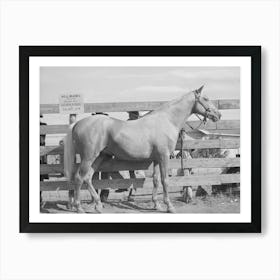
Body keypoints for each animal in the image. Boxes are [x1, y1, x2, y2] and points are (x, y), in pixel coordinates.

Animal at [63, 85, 221, 212]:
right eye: (206, 98)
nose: (218, 115)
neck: (166, 120)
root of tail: (77, 123)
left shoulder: (157, 159)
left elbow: (156, 180)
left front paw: (157, 205)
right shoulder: (164, 157)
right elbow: (165, 180)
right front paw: (169, 206)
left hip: (100, 156)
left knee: (88, 178)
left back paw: (98, 205)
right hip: (89, 157)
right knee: (79, 177)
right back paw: (79, 208)